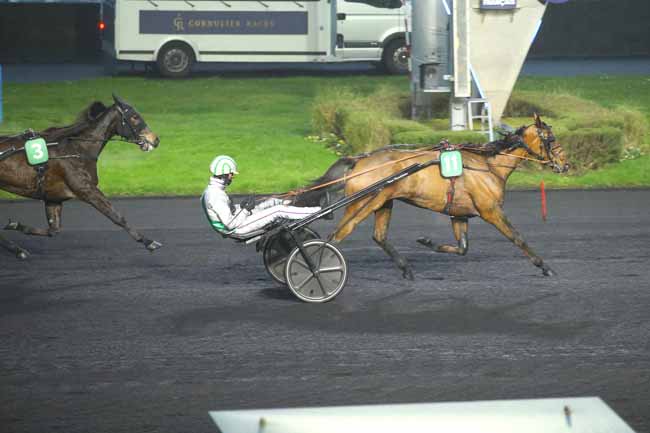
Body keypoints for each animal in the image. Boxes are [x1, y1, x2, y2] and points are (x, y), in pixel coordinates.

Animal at [0, 94, 161, 258]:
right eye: (134, 117)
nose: (155, 140)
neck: (78, 149)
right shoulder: (86, 190)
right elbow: (116, 216)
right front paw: (148, 241)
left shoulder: (53, 197)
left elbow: (53, 230)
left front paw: (16, 225)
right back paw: (17, 249)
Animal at [294, 113, 568, 278]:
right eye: (552, 138)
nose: (565, 164)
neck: (488, 165)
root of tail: (359, 160)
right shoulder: (490, 210)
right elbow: (517, 238)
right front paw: (544, 266)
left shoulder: (459, 214)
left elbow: (462, 248)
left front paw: (426, 241)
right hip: (364, 202)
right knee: (337, 235)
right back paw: (318, 267)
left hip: (383, 202)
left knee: (379, 236)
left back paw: (406, 269)